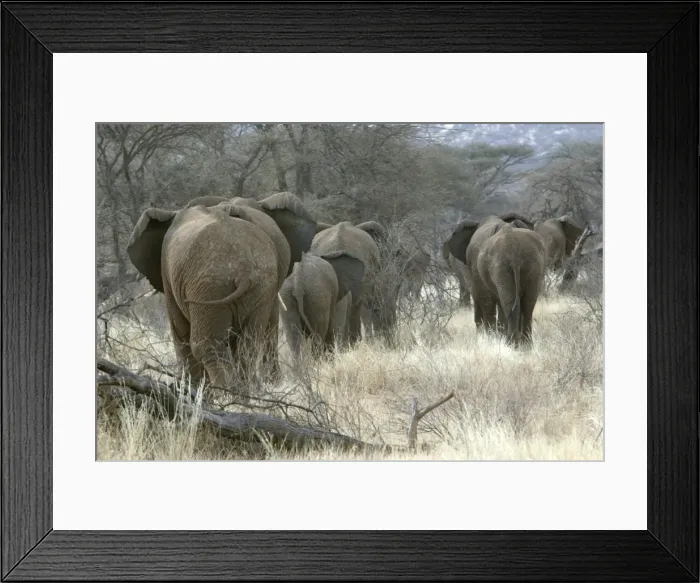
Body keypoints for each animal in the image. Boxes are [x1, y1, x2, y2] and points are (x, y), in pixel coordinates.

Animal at [126, 204, 281, 396]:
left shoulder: (168, 276)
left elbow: (181, 334)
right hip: (262, 287)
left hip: (210, 287)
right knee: (248, 344)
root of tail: (244, 270)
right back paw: (242, 396)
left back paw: (225, 397)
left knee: (206, 346)